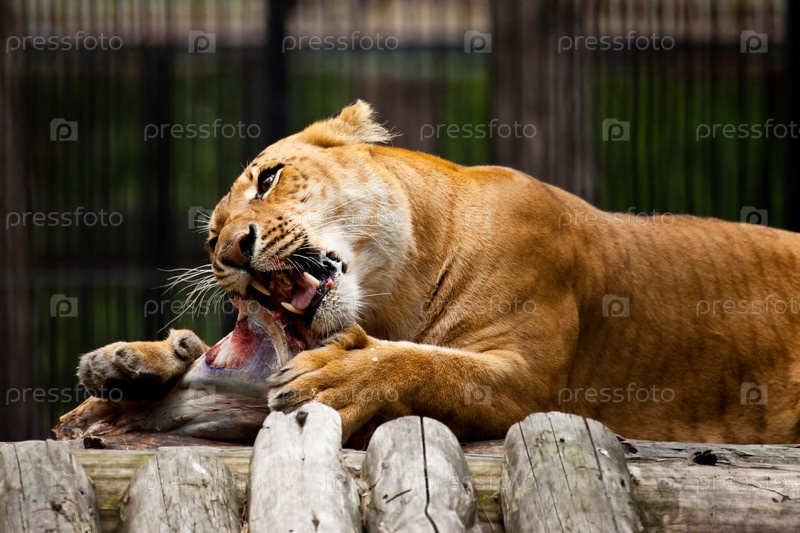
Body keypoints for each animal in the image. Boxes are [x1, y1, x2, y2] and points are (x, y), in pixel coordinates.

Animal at [78, 100, 800, 444]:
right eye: (209, 239)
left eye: (269, 177)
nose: (231, 252)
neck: (395, 294)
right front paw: (123, 368)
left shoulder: (531, 380)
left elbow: (426, 364)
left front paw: (341, 374)